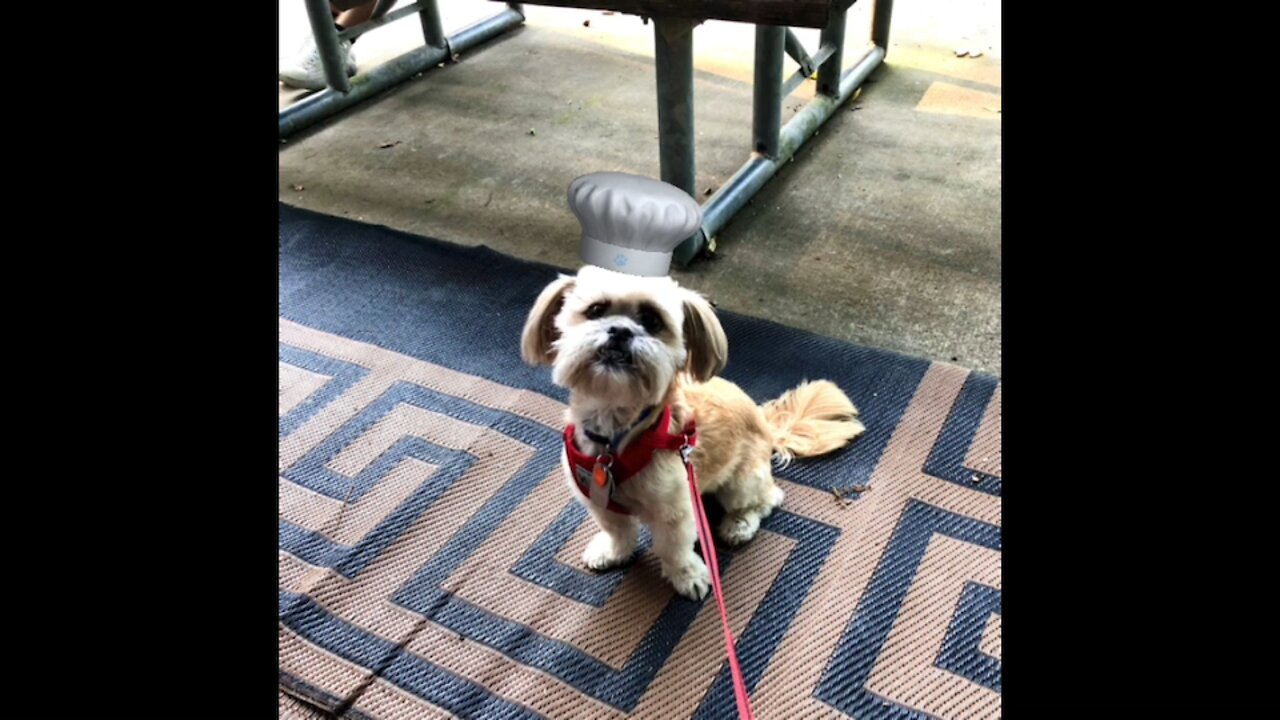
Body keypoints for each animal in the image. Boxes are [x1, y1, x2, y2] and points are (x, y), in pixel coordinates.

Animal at [514, 266, 865, 597]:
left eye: (652, 320)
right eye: (596, 310)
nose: (621, 330)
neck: (616, 437)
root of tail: (764, 422)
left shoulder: (676, 509)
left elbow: (674, 549)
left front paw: (688, 577)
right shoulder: (599, 500)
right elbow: (619, 531)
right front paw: (613, 552)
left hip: (742, 482)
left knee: (768, 499)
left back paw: (739, 525)